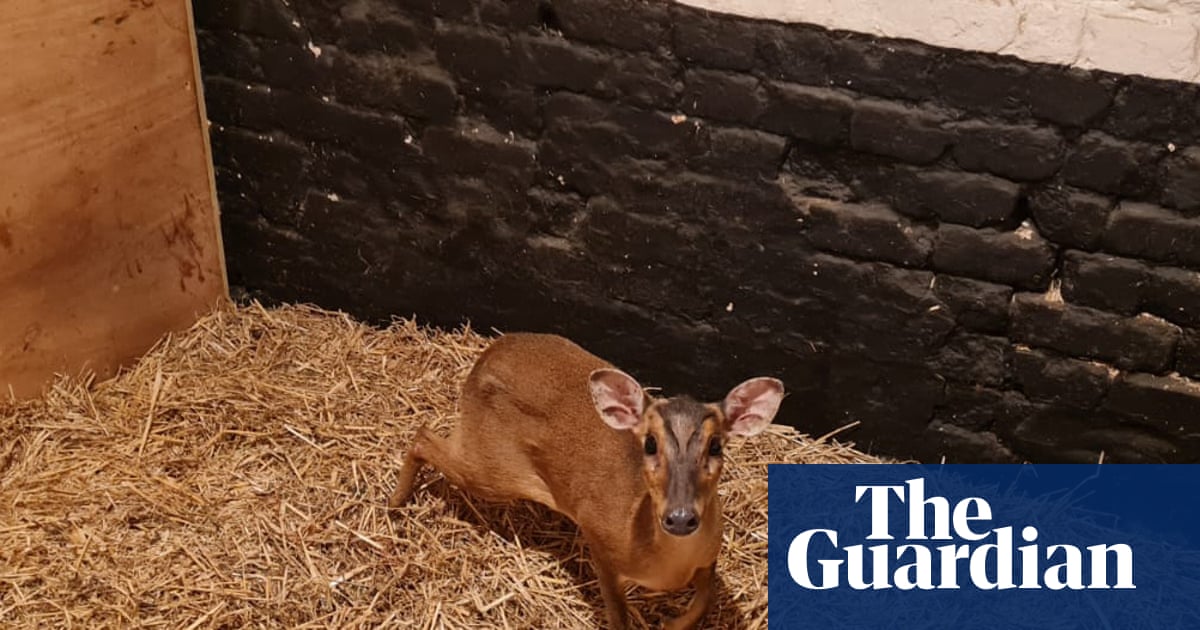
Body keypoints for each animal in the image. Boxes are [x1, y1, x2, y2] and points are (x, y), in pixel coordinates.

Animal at [388, 333, 784, 629]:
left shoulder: (710, 555)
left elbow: (703, 601)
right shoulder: (598, 539)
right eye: (650, 443)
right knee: (423, 435)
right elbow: (619, 616)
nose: (681, 517)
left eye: (716, 444)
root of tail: (484, 358)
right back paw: (395, 503)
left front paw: (672, 623)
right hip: (490, 469)